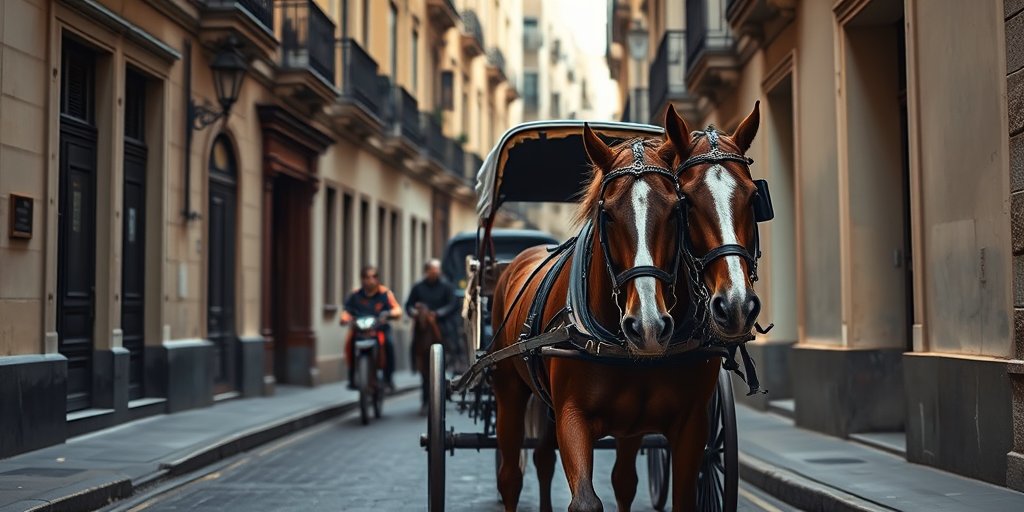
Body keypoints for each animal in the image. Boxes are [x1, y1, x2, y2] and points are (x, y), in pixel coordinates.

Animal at [489, 102, 763, 512]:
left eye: (752, 197)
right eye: (607, 214)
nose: (737, 306)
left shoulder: (691, 424)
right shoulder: (572, 416)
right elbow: (585, 501)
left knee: (584, 469)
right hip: (508, 392)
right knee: (510, 476)